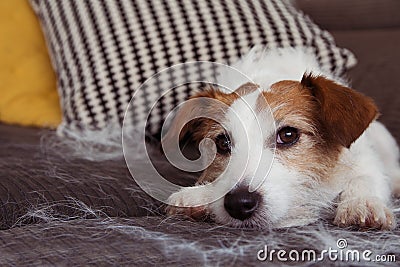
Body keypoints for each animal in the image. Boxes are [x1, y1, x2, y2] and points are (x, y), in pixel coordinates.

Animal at [162, 46, 400, 230]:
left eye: (287, 135)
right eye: (223, 143)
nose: (239, 204)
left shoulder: (362, 157)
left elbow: (365, 176)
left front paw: (362, 203)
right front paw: (200, 195)